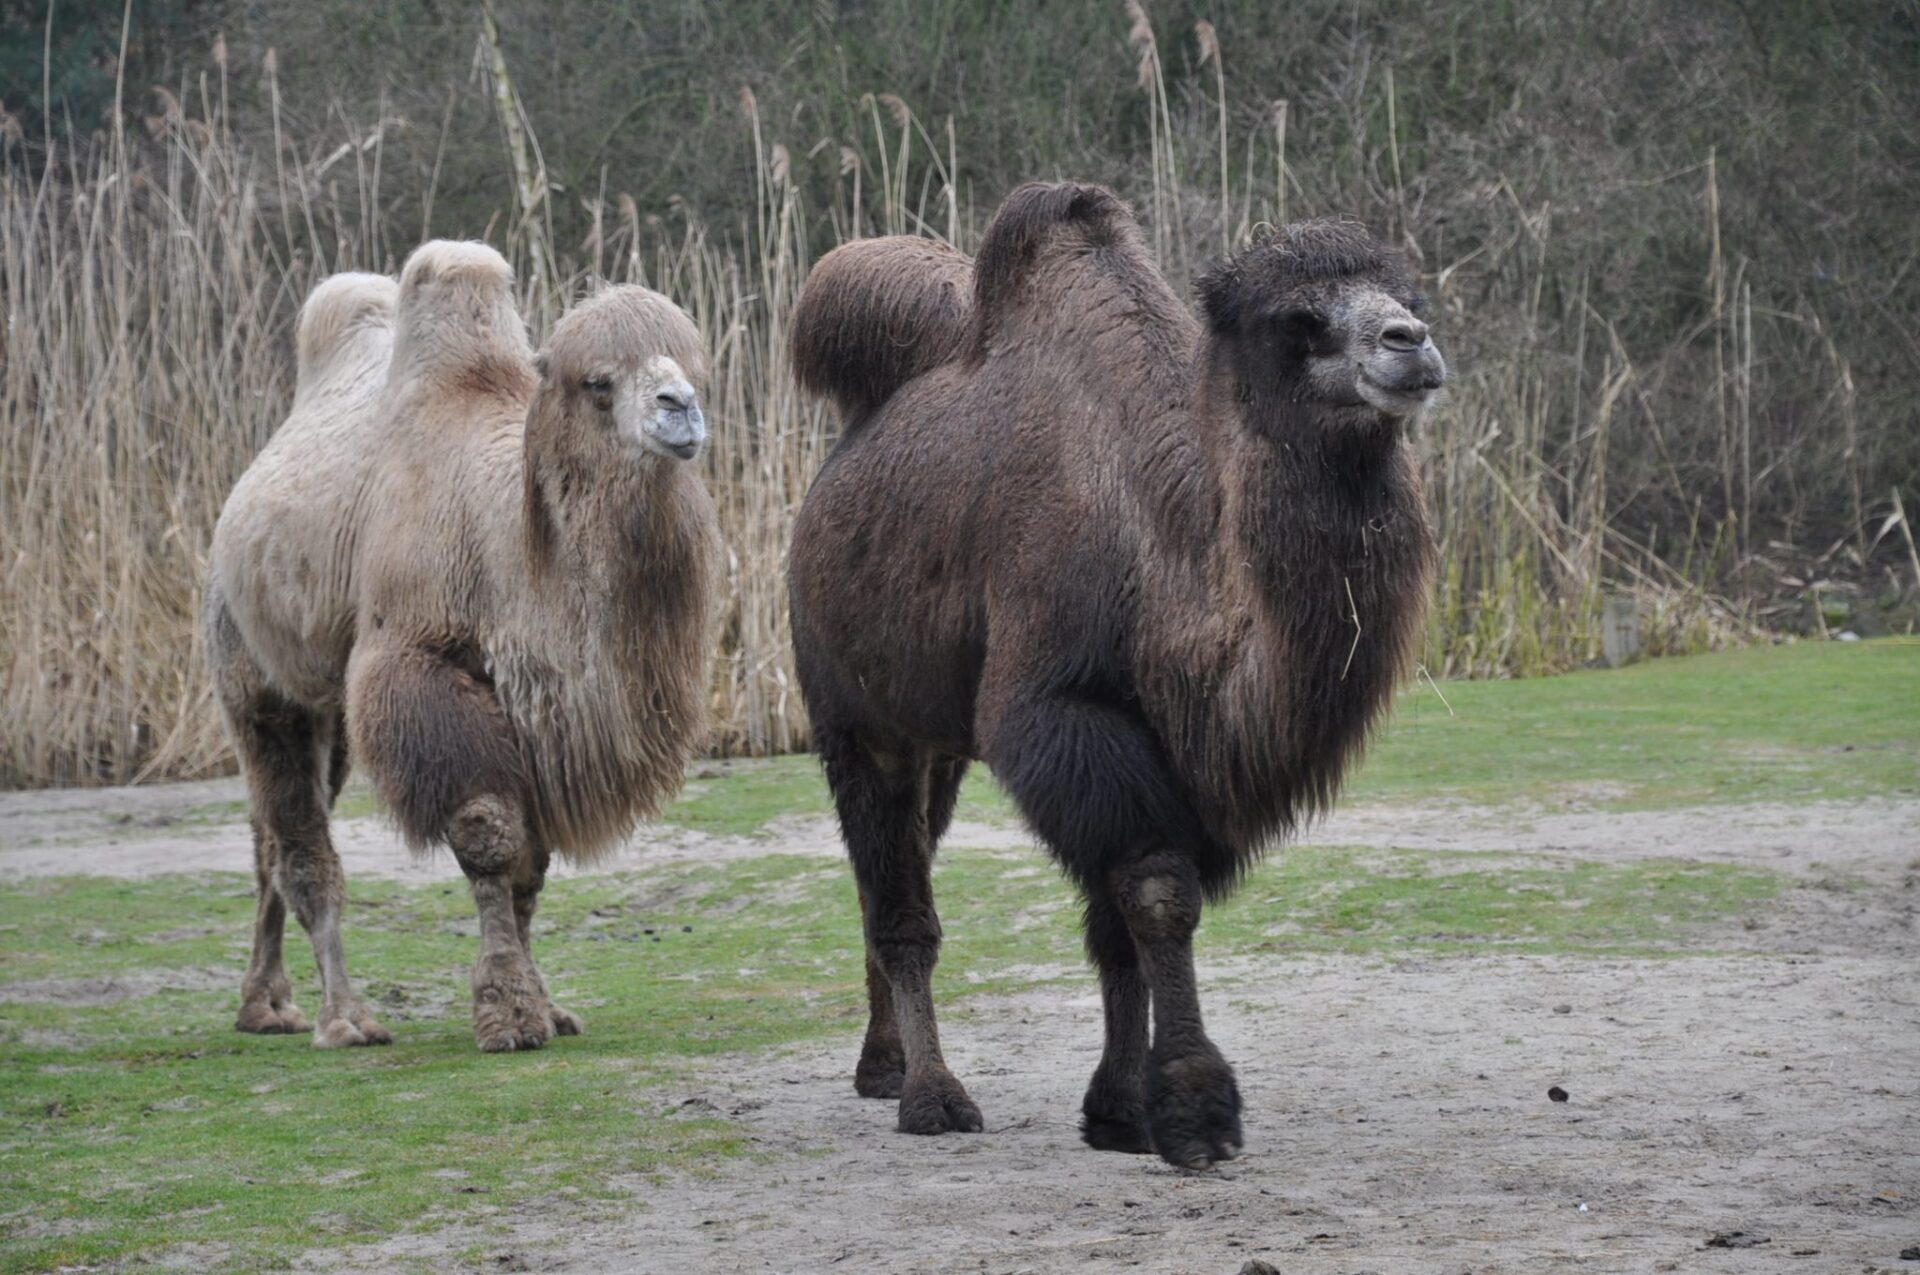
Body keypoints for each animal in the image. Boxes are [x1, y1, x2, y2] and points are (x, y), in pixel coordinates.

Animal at [205, 242, 719, 1052]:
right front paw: (508, 1012)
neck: (501, 536)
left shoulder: (538, 713)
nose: (680, 407)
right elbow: (489, 837)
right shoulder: (416, 665)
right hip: (252, 675)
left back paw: (266, 1005)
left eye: (696, 365)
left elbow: (532, 866)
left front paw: (548, 1005)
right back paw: (343, 1016)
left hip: (332, 720)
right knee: (300, 844)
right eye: (597, 383)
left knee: (268, 843)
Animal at [788, 183, 1444, 1168]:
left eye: (1405, 293)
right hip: (853, 717)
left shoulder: (1180, 756)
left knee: (893, 872)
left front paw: (1118, 1111)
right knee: (900, 905)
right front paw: (1196, 1108)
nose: (1413, 343)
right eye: (1298, 321)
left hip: (939, 744)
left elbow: (1116, 929)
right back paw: (932, 1095)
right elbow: (1158, 895)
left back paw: (884, 1067)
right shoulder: (1065, 711)